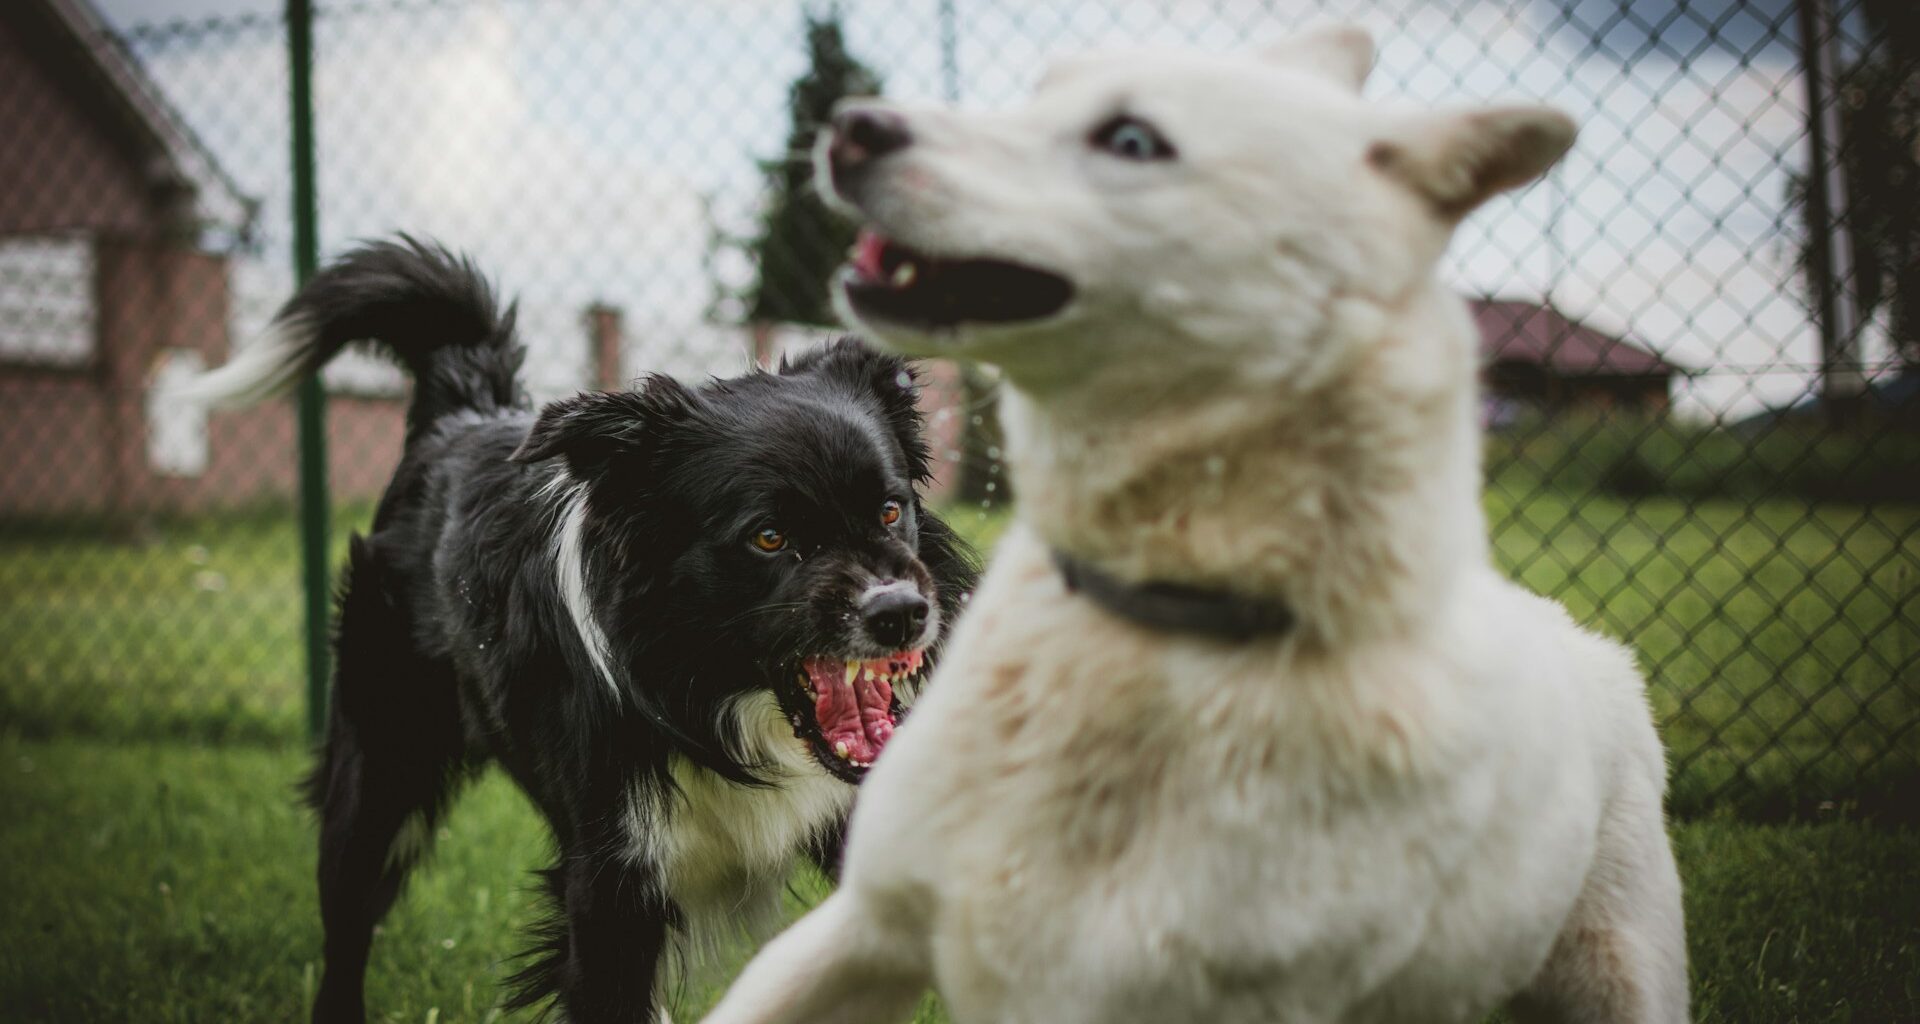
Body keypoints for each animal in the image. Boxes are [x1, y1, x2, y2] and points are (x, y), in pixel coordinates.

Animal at [183, 237, 975, 1022]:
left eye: (890, 511)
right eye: (770, 537)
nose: (902, 612)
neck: (715, 702)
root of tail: (461, 415)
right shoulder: (609, 887)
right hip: (377, 772)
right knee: (347, 929)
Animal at [702, 25, 1681, 1022]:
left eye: (1133, 139)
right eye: (1042, 90)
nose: (851, 127)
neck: (1154, 632)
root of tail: (1578, 636)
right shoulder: (867, 923)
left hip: (1620, 974)